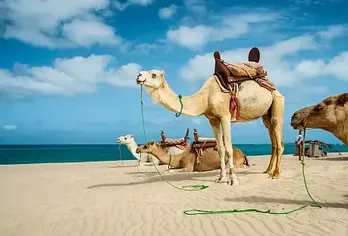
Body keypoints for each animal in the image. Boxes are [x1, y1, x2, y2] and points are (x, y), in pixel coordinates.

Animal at [135, 47, 284, 186]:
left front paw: (233, 180)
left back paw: (276, 174)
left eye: (154, 74)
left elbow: (228, 149)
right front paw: (221, 178)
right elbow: (221, 150)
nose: (138, 75)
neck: (205, 98)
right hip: (265, 114)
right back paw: (267, 170)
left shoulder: (225, 116)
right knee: (272, 138)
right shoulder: (213, 119)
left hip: (277, 102)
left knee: (279, 139)